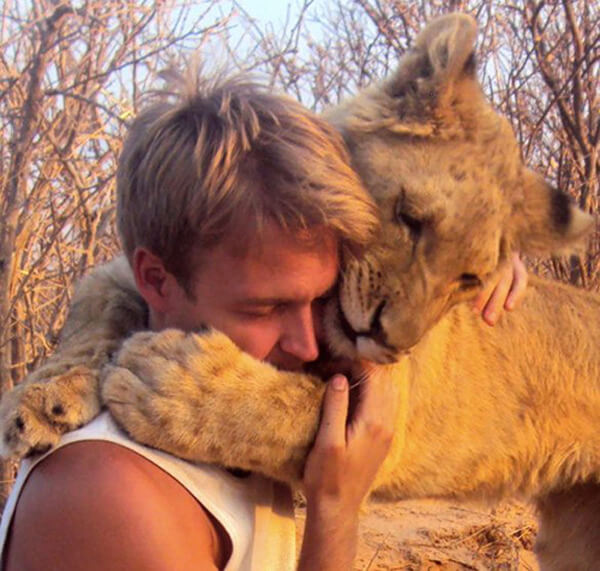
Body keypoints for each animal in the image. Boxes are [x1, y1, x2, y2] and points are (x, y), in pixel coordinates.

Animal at [1, 11, 600, 568]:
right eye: (411, 219)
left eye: (470, 280)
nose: (392, 341)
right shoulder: (119, 272)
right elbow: (94, 314)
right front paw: (42, 401)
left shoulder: (392, 419)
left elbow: (280, 408)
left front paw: (168, 382)